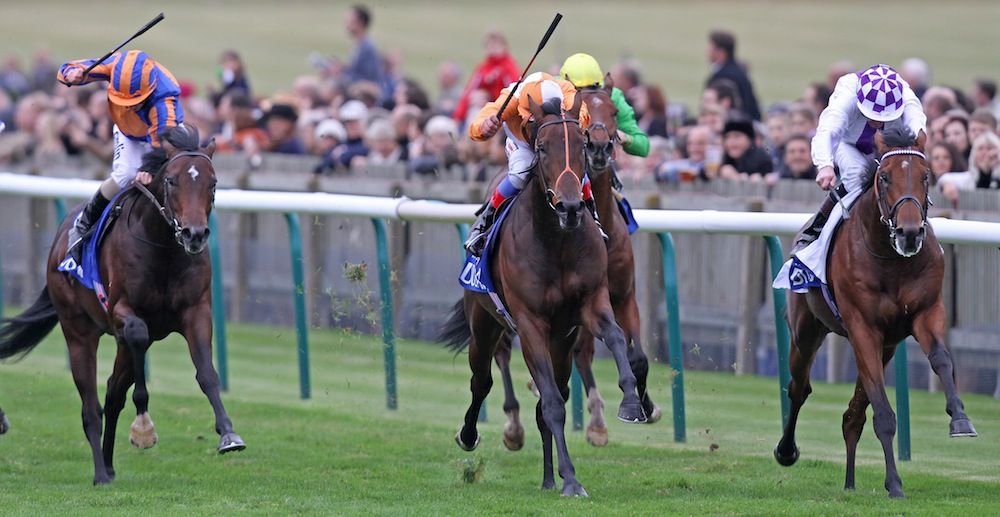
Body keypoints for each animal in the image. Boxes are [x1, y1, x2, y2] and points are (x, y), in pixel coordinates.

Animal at [0, 126, 244, 484]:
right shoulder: (122, 312)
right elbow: (138, 336)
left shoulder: (196, 312)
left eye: (212, 183)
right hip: (78, 331)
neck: (163, 248)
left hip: (118, 344)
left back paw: (109, 463)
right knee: (91, 405)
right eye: (172, 181)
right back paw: (101, 472)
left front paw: (228, 434)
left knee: (113, 393)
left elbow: (207, 373)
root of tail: (59, 239)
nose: (195, 234)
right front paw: (143, 426)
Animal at [442, 93, 644, 496]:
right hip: (485, 325)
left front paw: (630, 403)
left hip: (560, 342)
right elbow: (551, 404)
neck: (557, 241)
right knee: (483, 381)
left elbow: (616, 338)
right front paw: (572, 479)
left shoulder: (593, 303)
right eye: (541, 147)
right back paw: (471, 435)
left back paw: (550, 478)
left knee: (554, 392)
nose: (570, 206)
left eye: (581, 144)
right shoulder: (530, 321)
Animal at [490, 73, 660, 448]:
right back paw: (514, 425)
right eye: (541, 146)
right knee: (503, 350)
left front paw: (644, 406)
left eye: (614, 111)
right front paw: (597, 422)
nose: (598, 147)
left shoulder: (620, 295)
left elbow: (636, 356)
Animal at [772, 127, 976, 498]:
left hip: (886, 347)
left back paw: (850, 482)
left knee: (852, 415)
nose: (909, 233)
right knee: (799, 388)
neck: (892, 259)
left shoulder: (926, 312)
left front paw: (960, 419)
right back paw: (787, 450)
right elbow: (884, 414)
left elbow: (942, 360)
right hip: (807, 333)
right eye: (884, 177)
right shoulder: (863, 327)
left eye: (926, 176)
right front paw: (894, 483)